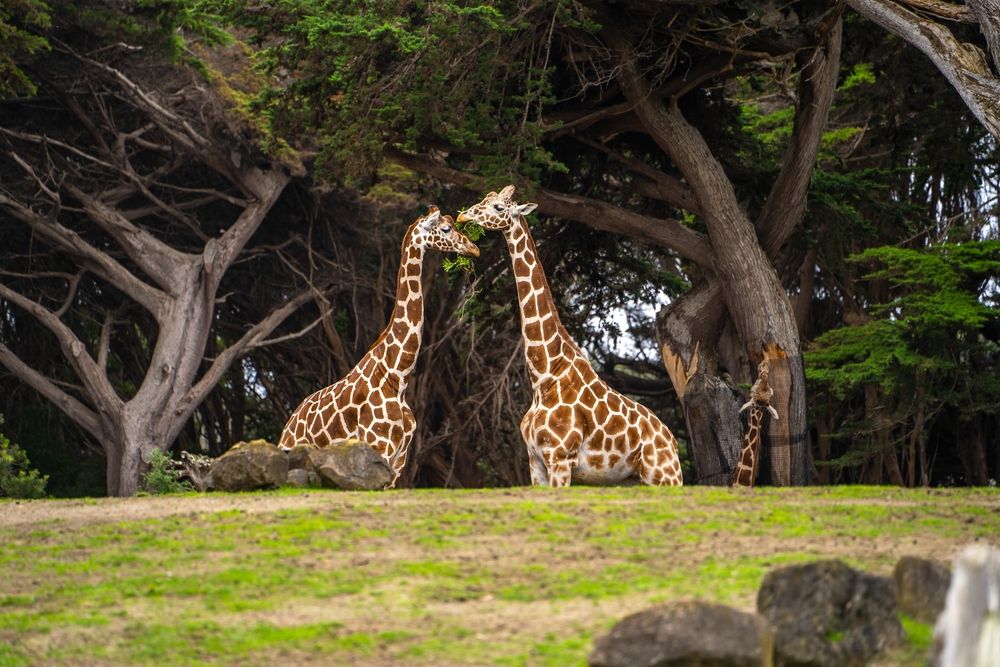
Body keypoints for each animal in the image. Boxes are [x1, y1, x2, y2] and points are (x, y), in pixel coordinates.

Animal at [279, 207, 479, 488]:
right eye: (446, 229)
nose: (474, 248)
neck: (397, 375)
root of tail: (289, 424)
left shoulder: (399, 460)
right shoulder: (378, 446)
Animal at [457, 185, 683, 487]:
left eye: (498, 207)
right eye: (485, 198)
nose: (463, 215)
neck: (543, 375)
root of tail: (672, 441)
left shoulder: (560, 458)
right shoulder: (535, 463)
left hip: (664, 476)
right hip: (633, 479)